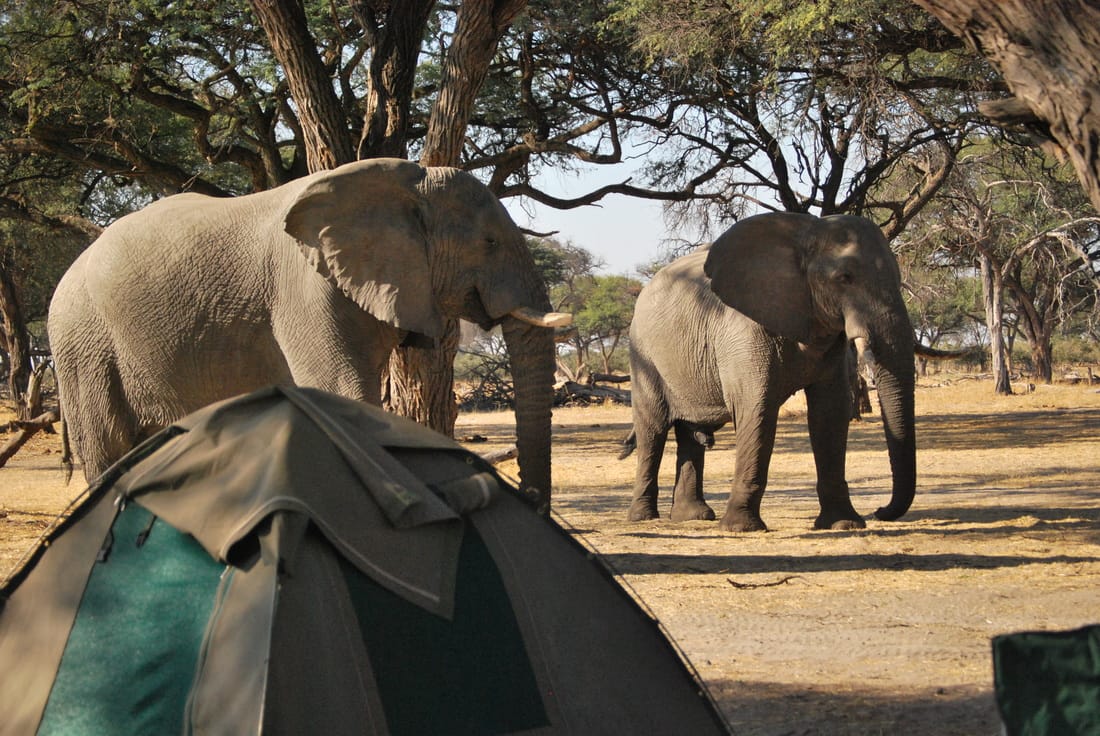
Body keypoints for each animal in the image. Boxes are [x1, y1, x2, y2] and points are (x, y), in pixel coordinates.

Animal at [49, 155, 567, 501]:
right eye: (490, 242)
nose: (529, 498)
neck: (410, 182)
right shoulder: (305, 289)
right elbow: (343, 391)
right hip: (83, 344)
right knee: (109, 450)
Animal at [624, 211, 915, 528]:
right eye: (844, 278)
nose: (880, 511)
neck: (806, 232)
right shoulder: (743, 330)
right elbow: (756, 408)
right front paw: (741, 528)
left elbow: (830, 412)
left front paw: (843, 524)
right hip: (643, 354)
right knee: (652, 430)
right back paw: (642, 517)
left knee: (689, 433)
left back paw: (694, 517)